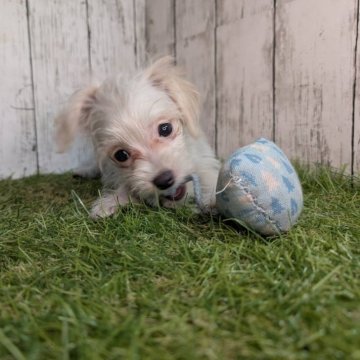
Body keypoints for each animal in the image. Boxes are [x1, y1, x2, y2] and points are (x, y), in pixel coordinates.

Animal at [56, 57, 219, 218]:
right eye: (121, 155)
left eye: (165, 129)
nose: (164, 180)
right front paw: (111, 202)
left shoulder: (204, 159)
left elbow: (211, 177)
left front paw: (211, 199)